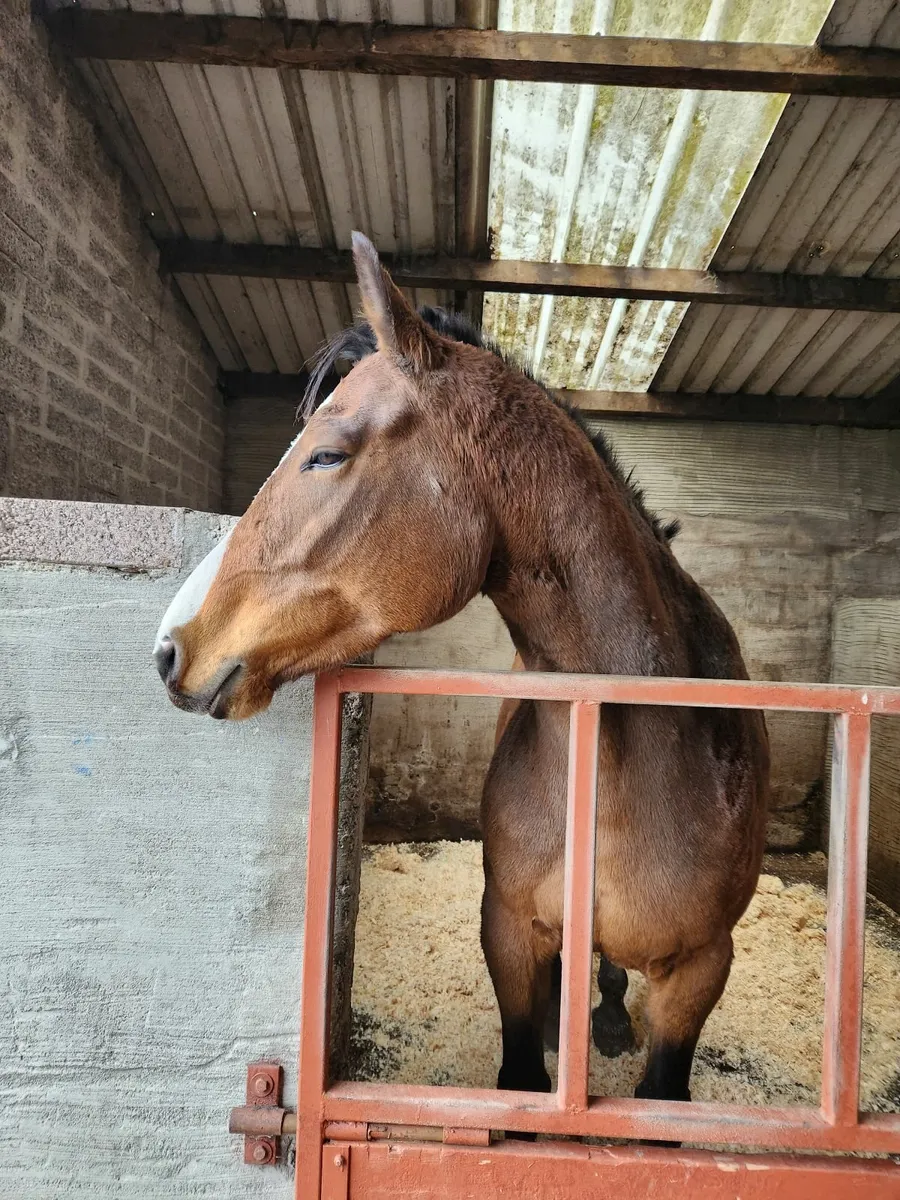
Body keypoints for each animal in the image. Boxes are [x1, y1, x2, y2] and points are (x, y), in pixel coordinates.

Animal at [153, 232, 770, 1116]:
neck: (649, 756)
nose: (171, 647)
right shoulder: (506, 933)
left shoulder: (701, 971)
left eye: (328, 453)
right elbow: (522, 1071)